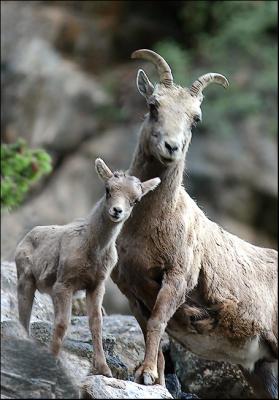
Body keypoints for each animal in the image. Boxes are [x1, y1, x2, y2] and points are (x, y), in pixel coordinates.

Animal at [15, 158, 161, 376]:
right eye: (108, 189)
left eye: (135, 200)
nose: (117, 211)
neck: (92, 248)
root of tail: (26, 238)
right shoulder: (64, 285)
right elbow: (62, 324)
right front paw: (53, 360)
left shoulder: (95, 287)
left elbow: (96, 324)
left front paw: (104, 369)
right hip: (26, 282)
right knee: (23, 317)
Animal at [112, 49, 279, 396]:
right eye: (153, 105)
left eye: (195, 118)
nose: (171, 147)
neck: (148, 226)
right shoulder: (133, 293)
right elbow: (152, 334)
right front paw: (154, 378)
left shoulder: (176, 280)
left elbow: (157, 324)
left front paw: (146, 375)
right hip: (260, 369)